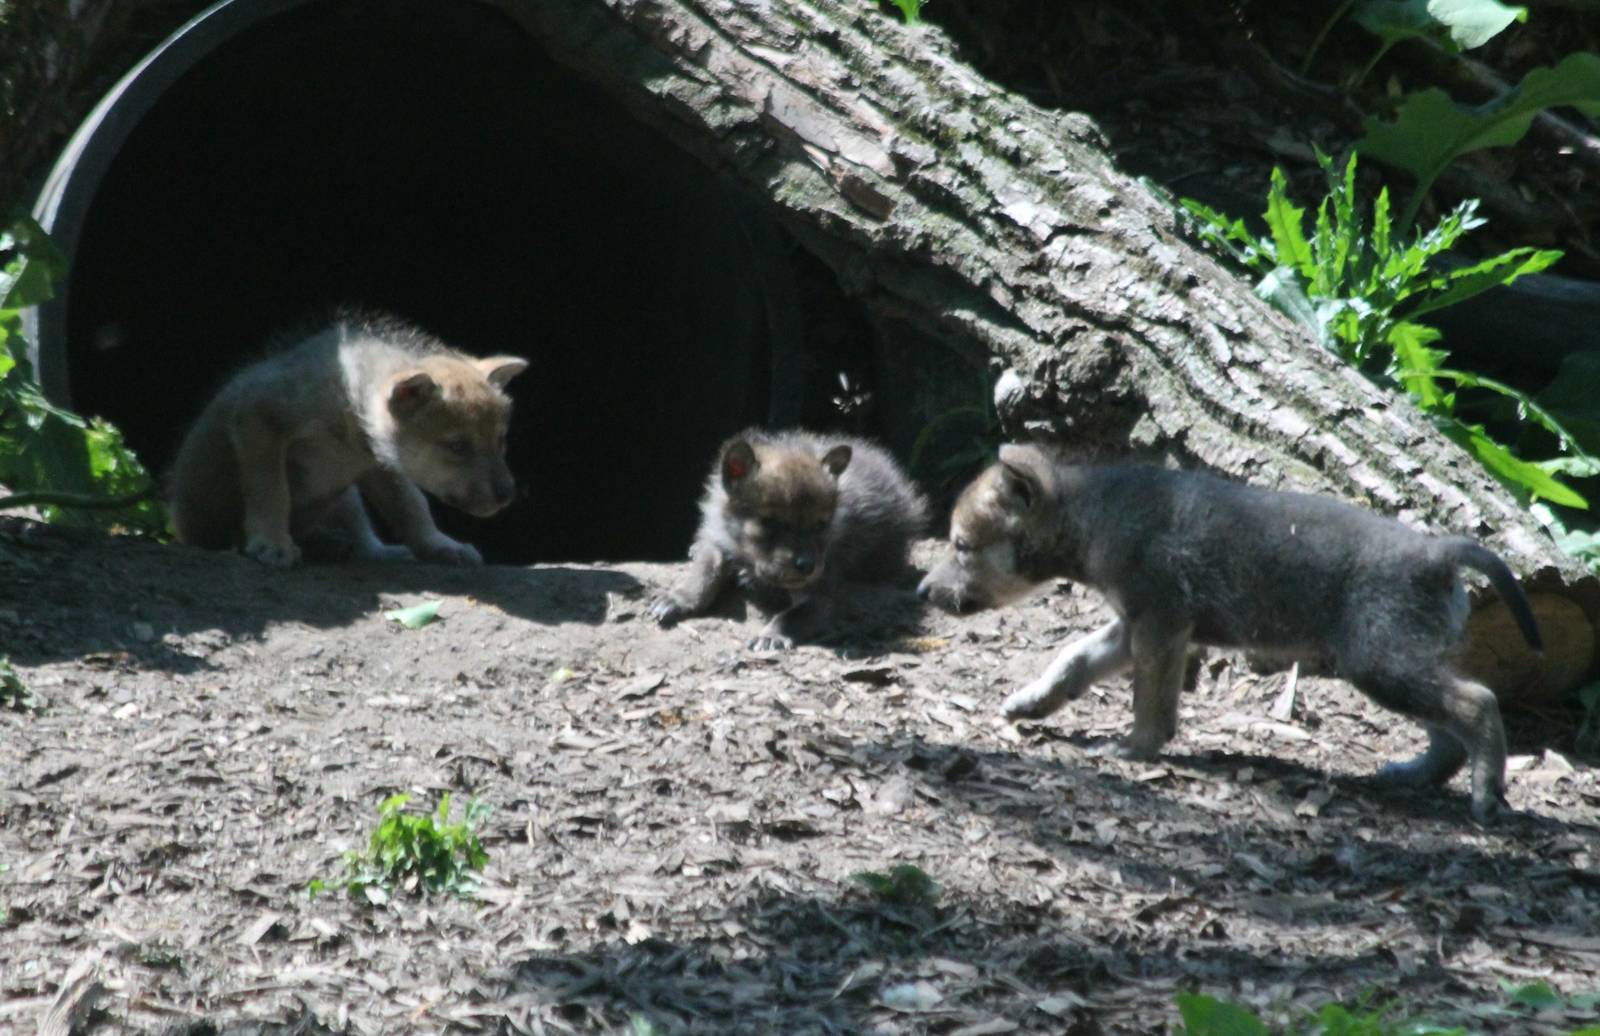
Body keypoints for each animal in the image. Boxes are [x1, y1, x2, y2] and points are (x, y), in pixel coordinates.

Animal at [169, 314, 528, 567]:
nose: (508, 494)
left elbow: (411, 506)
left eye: (500, 441)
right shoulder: (260, 419)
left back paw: (357, 548)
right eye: (457, 446)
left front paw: (439, 544)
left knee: (359, 534)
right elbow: (271, 491)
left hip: (345, 497)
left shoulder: (381, 465)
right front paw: (272, 543)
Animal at [918, 444, 1542, 823]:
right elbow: (1071, 659)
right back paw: (1412, 776)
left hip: (1382, 664)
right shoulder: (1131, 626)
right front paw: (1031, 702)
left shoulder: (1161, 627)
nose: (923, 590)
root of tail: (1438, 552)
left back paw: (1486, 795)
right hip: (1395, 665)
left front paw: (1133, 749)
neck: (1096, 513)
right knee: (1448, 733)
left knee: (1478, 704)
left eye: (962, 546)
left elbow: (1151, 705)